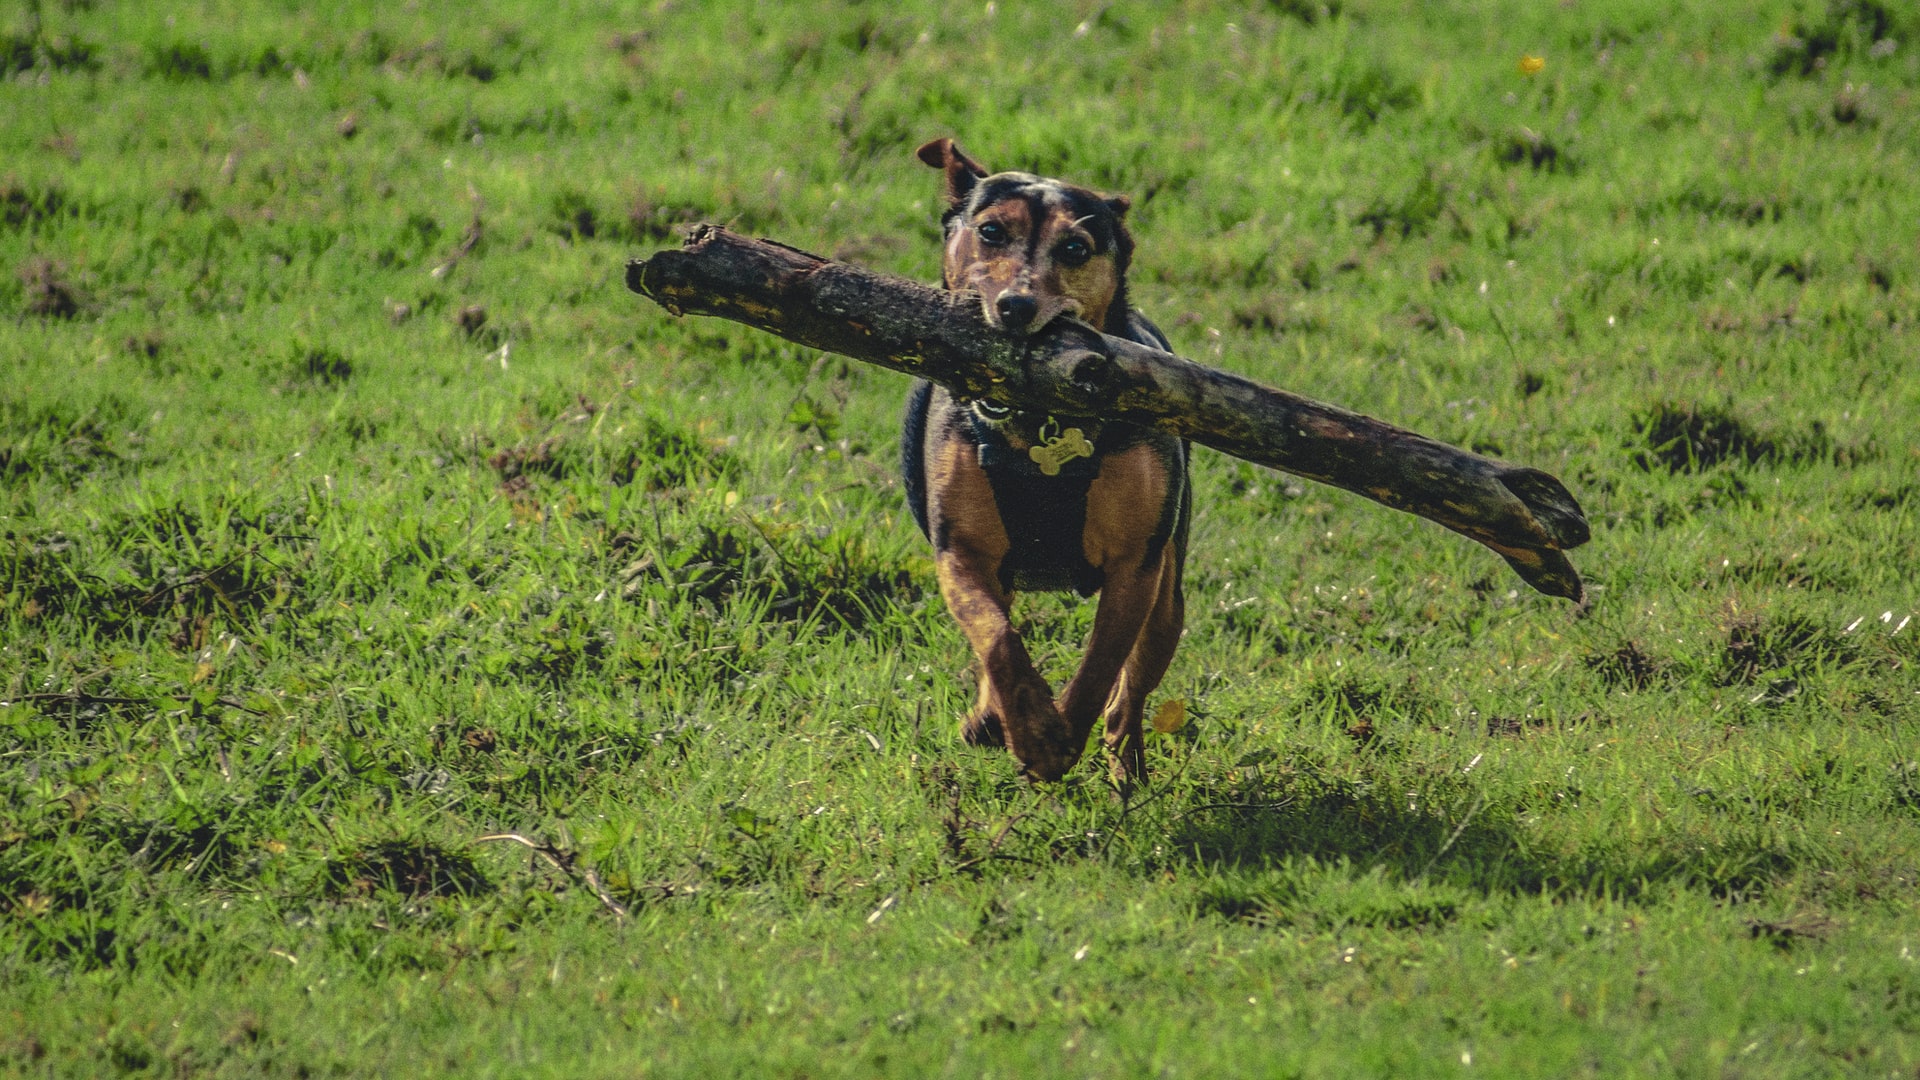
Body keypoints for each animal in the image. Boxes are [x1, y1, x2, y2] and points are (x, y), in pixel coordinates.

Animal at [898, 138, 1182, 787]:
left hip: (1169, 591)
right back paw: (990, 718)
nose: (1016, 306)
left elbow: (1103, 661)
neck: (1037, 425)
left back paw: (1125, 759)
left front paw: (1059, 738)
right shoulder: (960, 551)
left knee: (1137, 676)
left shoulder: (1136, 565)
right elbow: (997, 637)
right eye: (990, 231)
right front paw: (1026, 728)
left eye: (1075, 248)